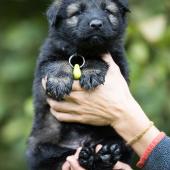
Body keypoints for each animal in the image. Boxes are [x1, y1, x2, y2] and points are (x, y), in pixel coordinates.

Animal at [27, 0, 132, 170]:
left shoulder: (118, 63)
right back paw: (89, 157)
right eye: (77, 13)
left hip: (122, 137)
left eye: (107, 10)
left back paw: (107, 154)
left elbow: (97, 58)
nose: (96, 24)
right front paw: (59, 82)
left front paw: (92, 72)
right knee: (56, 159)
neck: (83, 52)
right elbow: (58, 63)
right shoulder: (46, 59)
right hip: (40, 148)